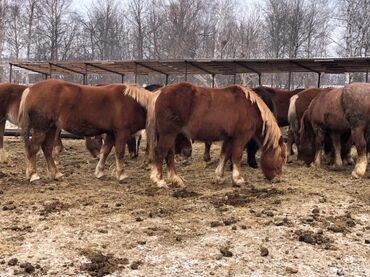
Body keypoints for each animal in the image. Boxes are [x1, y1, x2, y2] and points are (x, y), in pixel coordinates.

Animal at [18, 78, 146, 182]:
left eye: (140, 140)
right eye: (131, 140)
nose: (135, 155)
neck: (131, 101)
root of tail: (30, 89)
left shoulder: (111, 133)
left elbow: (105, 151)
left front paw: (100, 172)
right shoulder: (121, 132)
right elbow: (119, 152)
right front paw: (122, 175)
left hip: (52, 129)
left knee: (47, 148)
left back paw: (56, 174)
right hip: (41, 129)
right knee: (33, 148)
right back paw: (34, 176)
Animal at [124, 81, 286, 187]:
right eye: (281, 157)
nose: (278, 178)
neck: (250, 108)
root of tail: (159, 93)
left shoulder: (229, 138)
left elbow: (224, 155)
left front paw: (219, 177)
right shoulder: (240, 138)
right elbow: (236, 156)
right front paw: (238, 179)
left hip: (170, 135)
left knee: (168, 155)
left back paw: (176, 179)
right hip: (168, 134)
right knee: (161, 153)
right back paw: (159, 180)